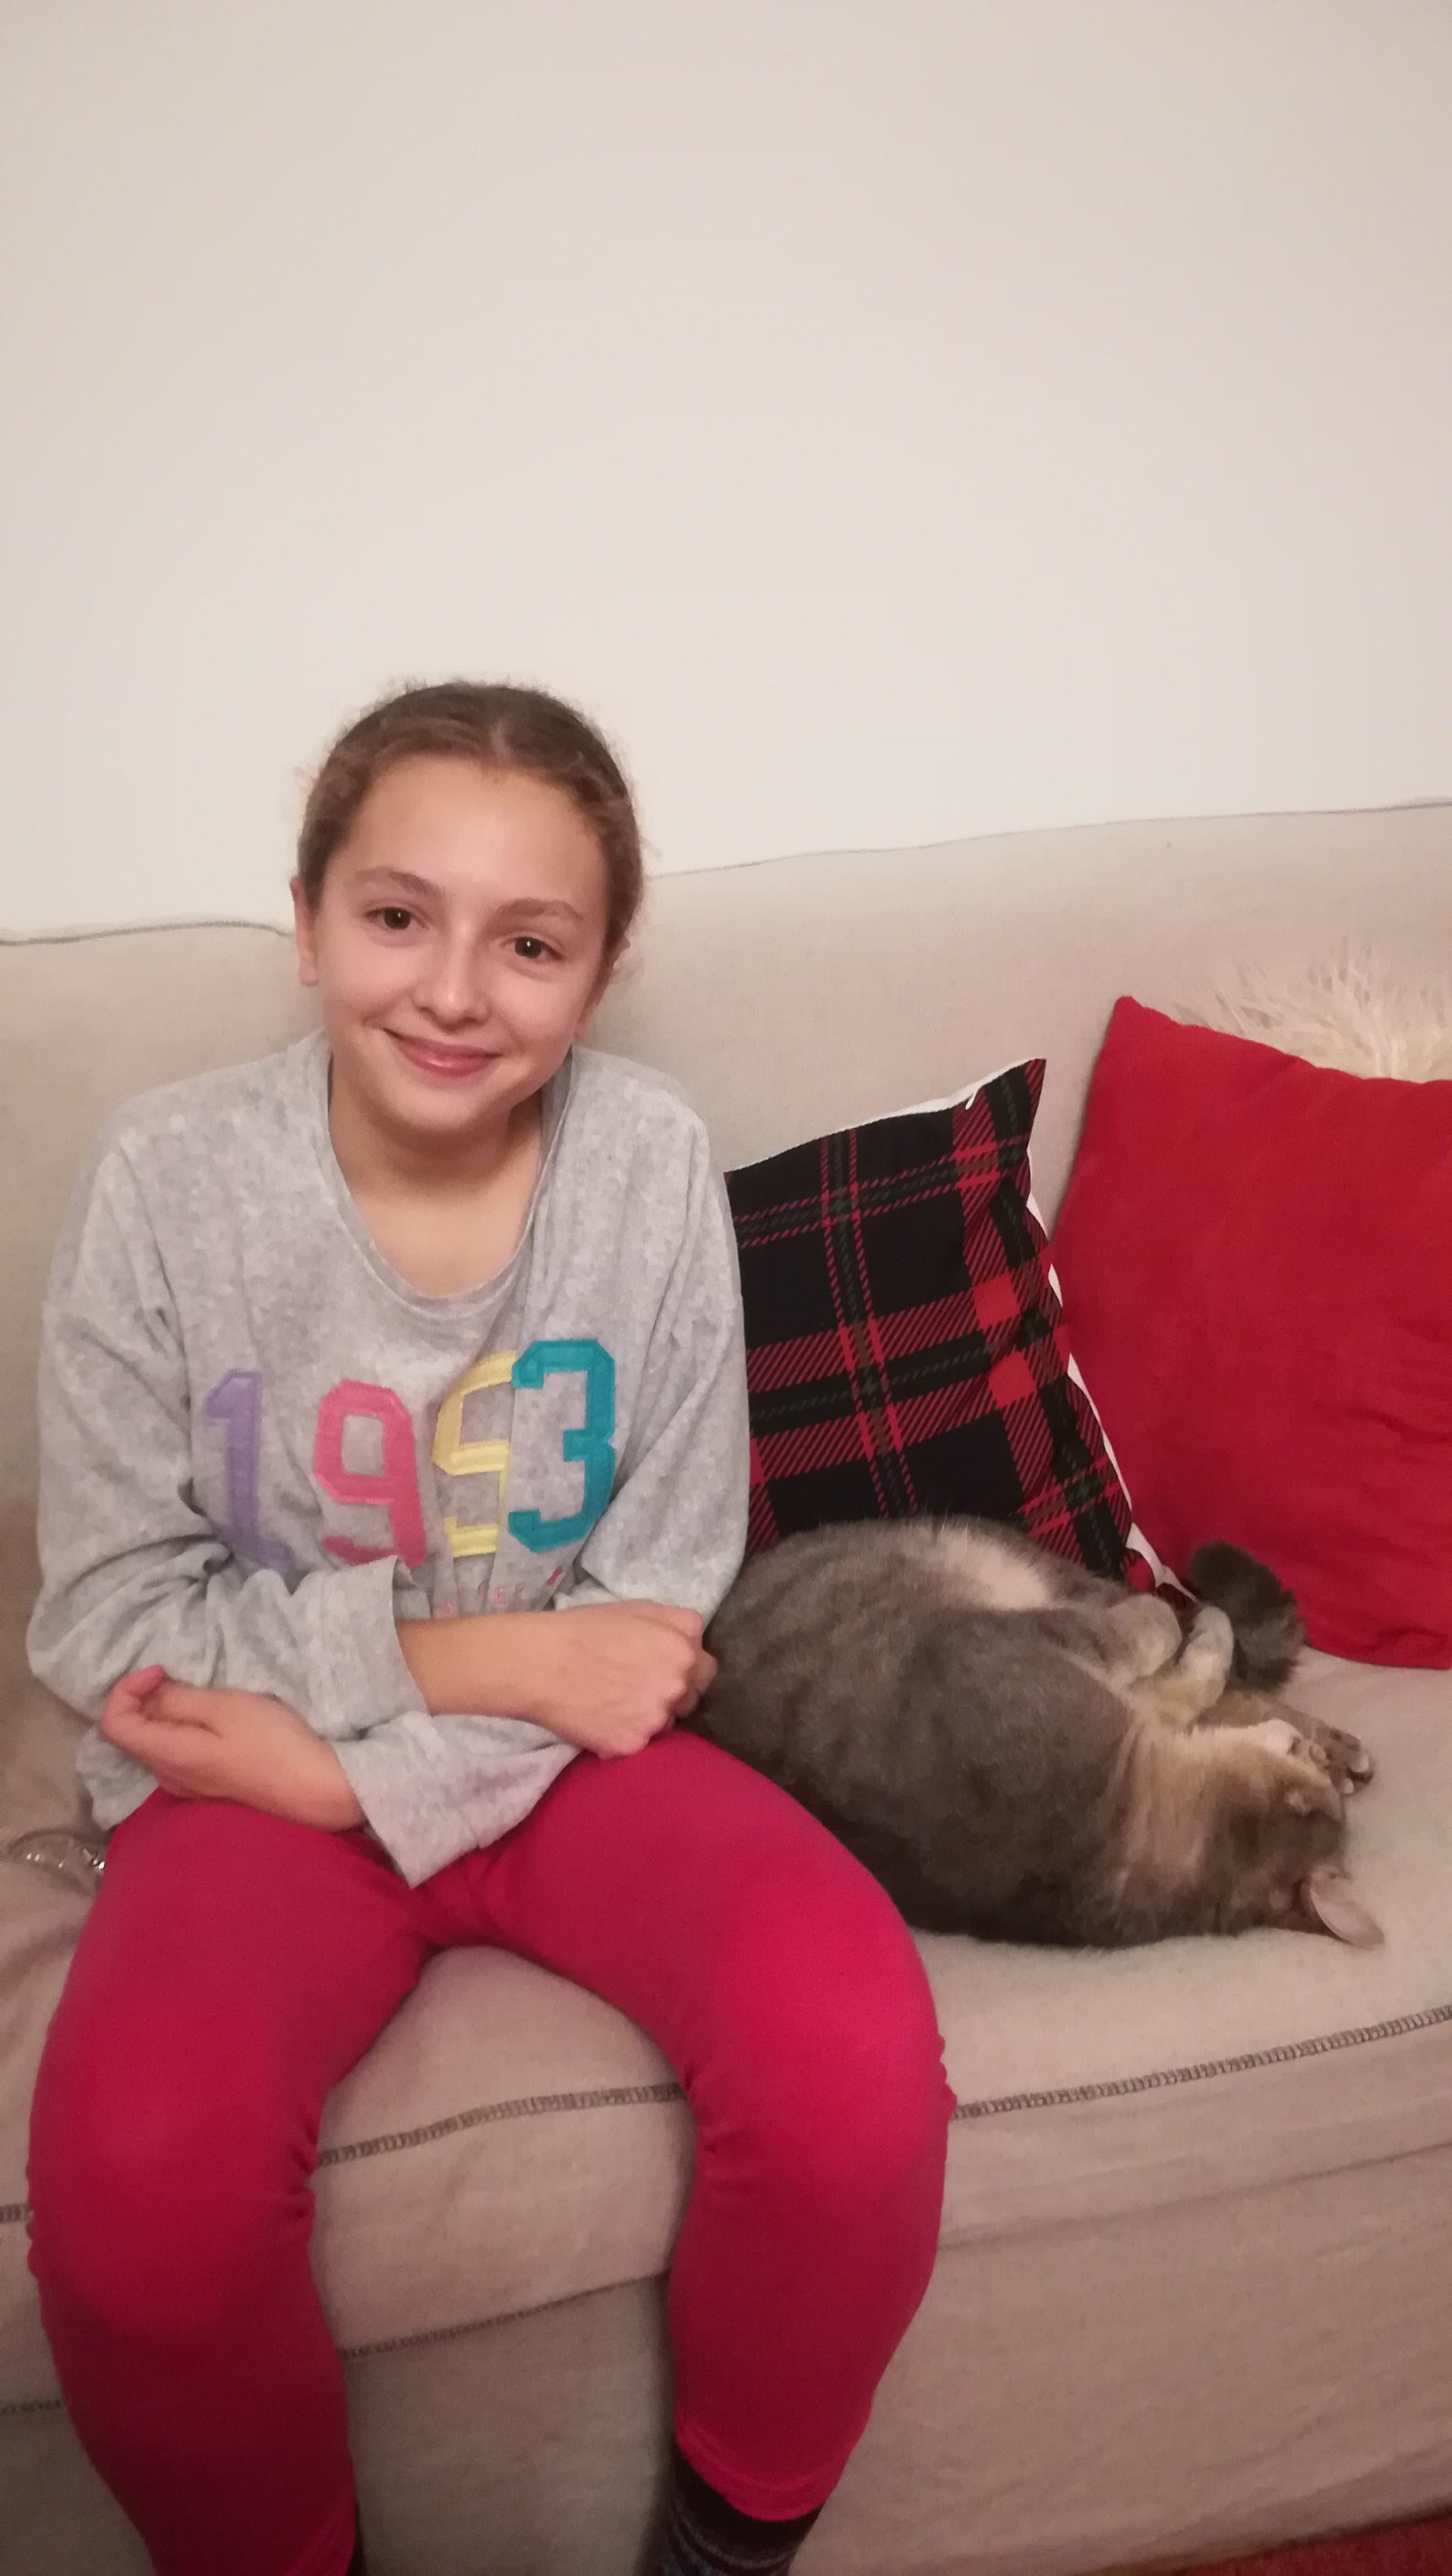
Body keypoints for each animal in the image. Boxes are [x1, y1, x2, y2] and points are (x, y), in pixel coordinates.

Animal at [688, 1520, 1381, 1949]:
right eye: (1300, 1763)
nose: (1318, 1758)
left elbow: (1189, 1673)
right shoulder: (1005, 1644)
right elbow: (1171, 1647)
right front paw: (1185, 1628)